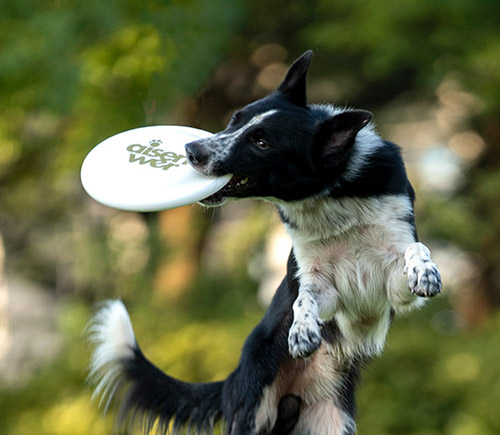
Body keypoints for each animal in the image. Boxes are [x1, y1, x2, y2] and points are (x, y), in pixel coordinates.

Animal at [89, 52, 442, 435]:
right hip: (252, 410)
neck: (333, 195)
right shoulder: (323, 285)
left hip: (332, 424)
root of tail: (230, 381)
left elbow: (415, 250)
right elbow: (304, 297)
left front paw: (426, 273)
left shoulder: (391, 287)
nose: (191, 149)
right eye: (235, 119)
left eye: (262, 143)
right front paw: (301, 331)